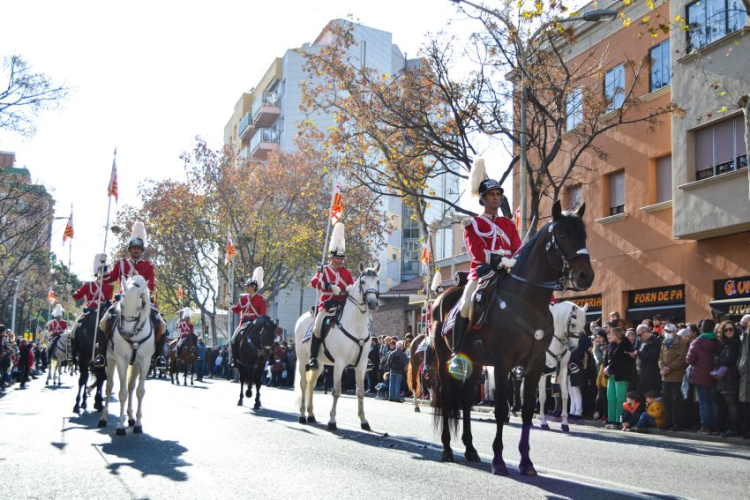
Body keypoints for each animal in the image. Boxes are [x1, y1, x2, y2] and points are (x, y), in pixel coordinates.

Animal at [97, 276, 155, 436]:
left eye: (140, 306)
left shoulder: (145, 362)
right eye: (121, 305)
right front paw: (120, 426)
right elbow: (121, 393)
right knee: (109, 386)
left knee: (131, 387)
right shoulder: (121, 360)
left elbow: (140, 392)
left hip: (134, 365)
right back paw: (103, 418)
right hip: (110, 361)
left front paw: (138, 424)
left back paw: (130, 418)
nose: (127, 333)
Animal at [296, 264, 382, 432]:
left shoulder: (361, 364)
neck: (356, 324)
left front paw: (364, 421)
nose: (373, 303)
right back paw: (302, 416)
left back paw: (311, 415)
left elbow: (360, 392)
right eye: (362, 282)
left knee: (311, 385)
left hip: (319, 364)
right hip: (303, 360)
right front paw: (332, 421)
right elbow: (336, 391)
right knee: (303, 384)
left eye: (377, 281)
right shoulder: (340, 363)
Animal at [540, 300, 588, 434]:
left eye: (583, 325)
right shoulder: (541, 373)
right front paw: (543, 422)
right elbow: (543, 396)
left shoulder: (562, 370)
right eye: (573, 324)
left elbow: (565, 395)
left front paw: (565, 424)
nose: (573, 348)